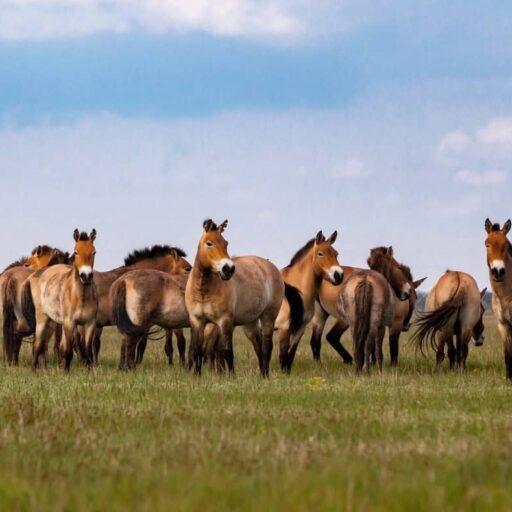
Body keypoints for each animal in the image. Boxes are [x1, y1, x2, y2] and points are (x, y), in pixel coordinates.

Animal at [22, 230, 98, 370]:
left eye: (94, 252)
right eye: (76, 252)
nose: (86, 276)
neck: (80, 296)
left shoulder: (90, 323)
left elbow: (87, 351)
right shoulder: (67, 323)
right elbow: (66, 349)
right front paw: (64, 370)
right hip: (43, 319)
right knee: (37, 343)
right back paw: (34, 370)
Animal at [185, 218, 300, 378]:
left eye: (226, 243)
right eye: (209, 243)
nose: (228, 269)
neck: (203, 291)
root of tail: (273, 268)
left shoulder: (225, 321)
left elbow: (227, 351)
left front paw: (231, 377)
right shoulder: (197, 321)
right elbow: (196, 350)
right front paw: (196, 377)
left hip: (268, 316)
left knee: (267, 347)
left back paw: (266, 376)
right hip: (250, 323)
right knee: (258, 346)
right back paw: (262, 374)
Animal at [274, 231, 342, 372]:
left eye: (336, 253)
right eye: (320, 253)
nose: (338, 275)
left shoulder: (300, 328)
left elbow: (290, 355)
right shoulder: (284, 327)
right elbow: (283, 355)